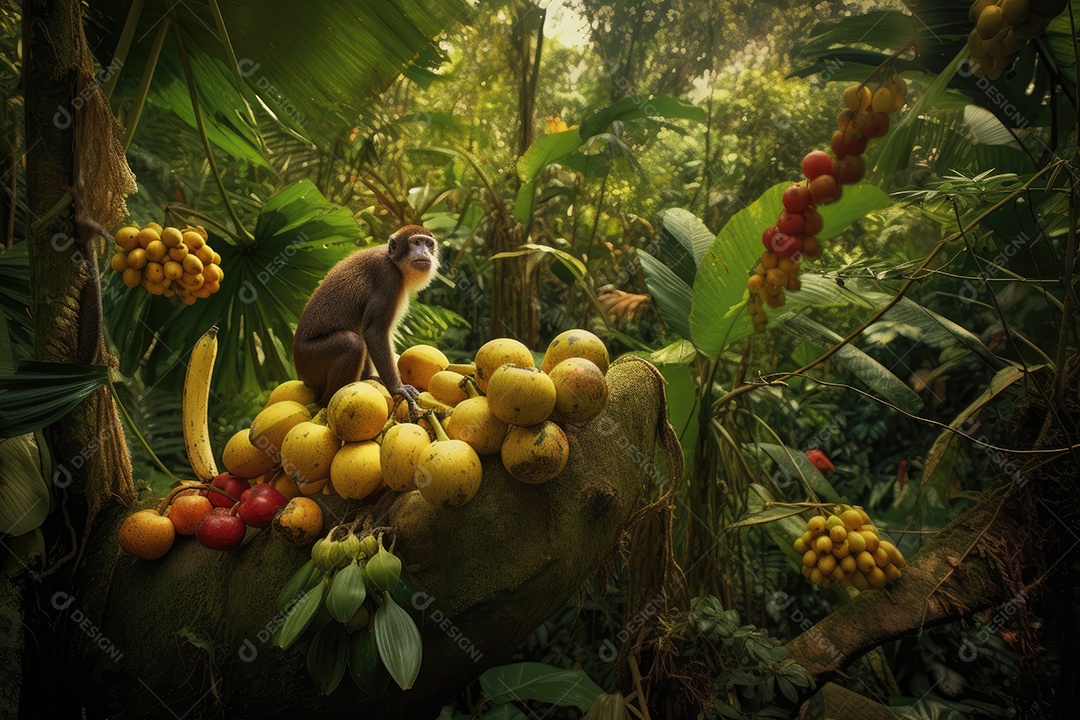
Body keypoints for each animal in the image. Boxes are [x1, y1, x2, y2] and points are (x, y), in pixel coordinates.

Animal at [292, 225, 440, 408]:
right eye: (416, 242)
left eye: (428, 244)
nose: (425, 252)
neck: (392, 261)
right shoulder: (388, 277)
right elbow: (374, 333)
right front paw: (397, 388)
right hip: (310, 360)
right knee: (352, 343)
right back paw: (326, 402)